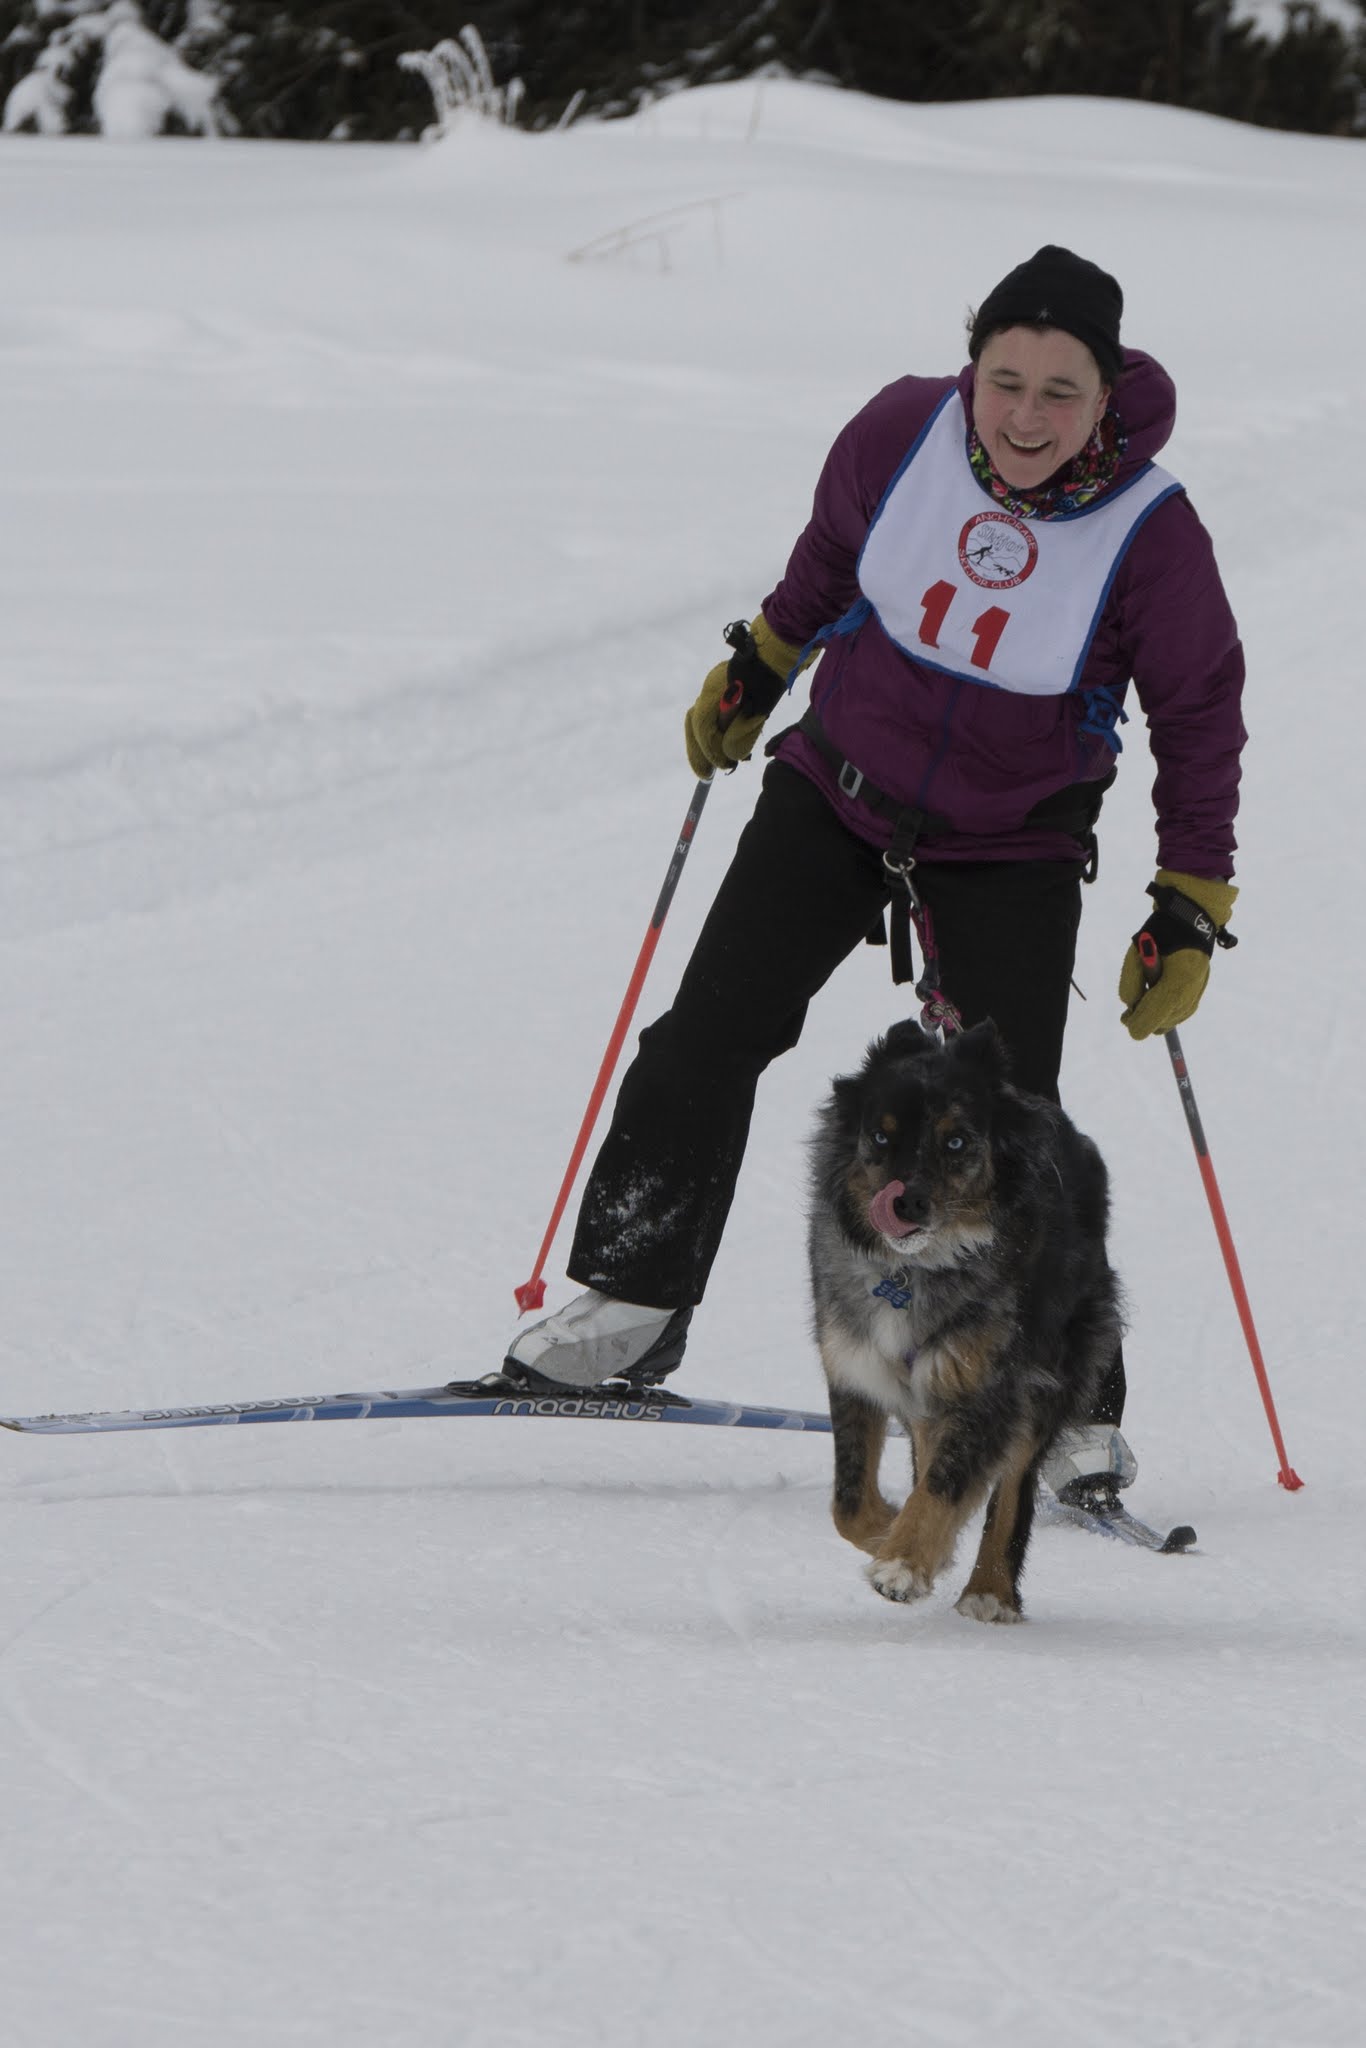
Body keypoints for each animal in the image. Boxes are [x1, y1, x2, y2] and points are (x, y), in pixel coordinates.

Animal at [810, 1015, 1122, 1622]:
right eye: (880, 1136)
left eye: (955, 1141)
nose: (905, 1203)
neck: (913, 1273)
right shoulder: (855, 1365)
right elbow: (849, 1503)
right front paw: (892, 1535)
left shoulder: (990, 1386)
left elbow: (947, 1485)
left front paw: (904, 1564)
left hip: (1051, 1372)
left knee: (1012, 1485)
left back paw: (989, 1590)